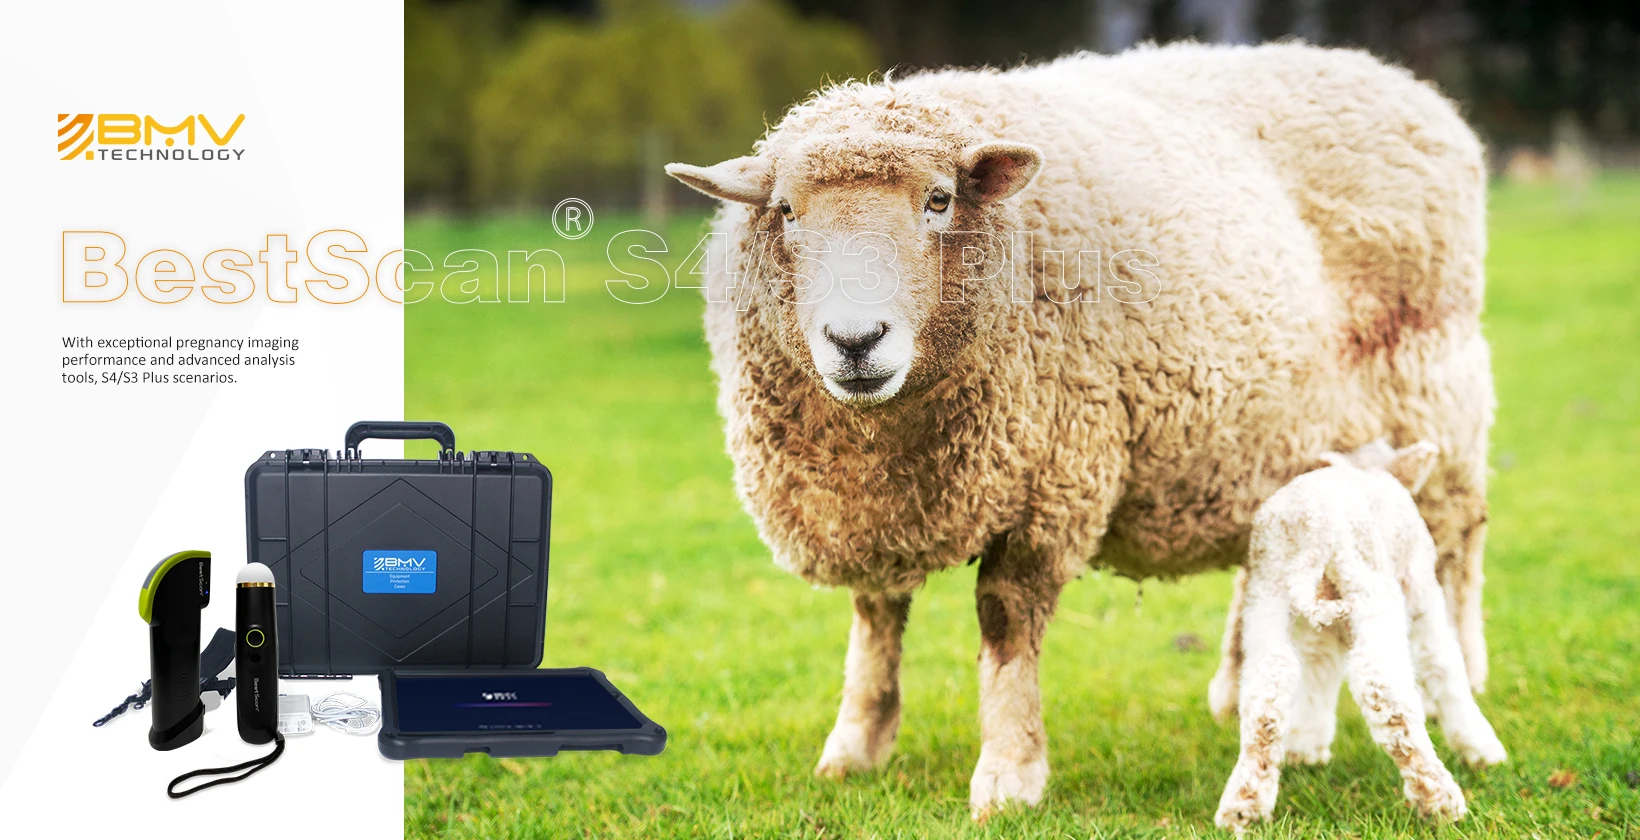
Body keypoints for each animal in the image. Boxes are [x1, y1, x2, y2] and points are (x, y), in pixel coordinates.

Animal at [1209, 440, 1506, 831]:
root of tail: (1315, 532)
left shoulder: (1323, 624)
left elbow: (1320, 669)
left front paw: (1307, 746)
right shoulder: (1421, 587)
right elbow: (1443, 662)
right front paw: (1481, 747)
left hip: (1267, 598)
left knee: (1269, 689)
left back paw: (1244, 805)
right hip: (1371, 587)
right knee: (1384, 689)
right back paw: (1439, 799)